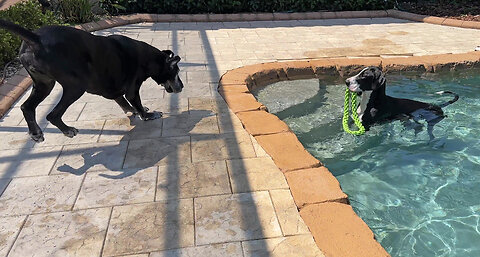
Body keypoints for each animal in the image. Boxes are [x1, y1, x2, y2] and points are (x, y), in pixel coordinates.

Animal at [0, 20, 184, 142]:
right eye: (176, 71)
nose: (182, 86)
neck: (149, 59)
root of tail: (36, 38)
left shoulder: (115, 90)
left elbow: (124, 102)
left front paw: (134, 111)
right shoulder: (132, 89)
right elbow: (135, 102)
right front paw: (147, 114)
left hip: (44, 84)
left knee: (27, 106)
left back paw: (36, 132)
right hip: (76, 86)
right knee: (52, 114)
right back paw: (67, 130)